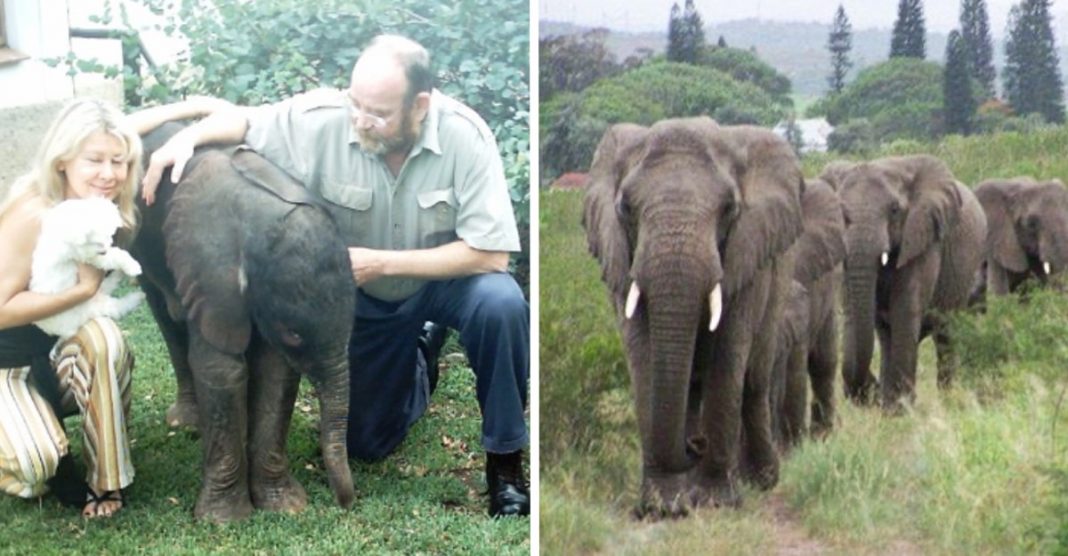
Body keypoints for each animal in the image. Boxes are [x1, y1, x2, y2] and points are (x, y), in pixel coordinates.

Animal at [30, 197, 145, 339]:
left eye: (109, 235)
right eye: (95, 243)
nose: (104, 251)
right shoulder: (86, 256)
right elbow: (114, 256)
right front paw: (133, 266)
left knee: (110, 284)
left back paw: (120, 275)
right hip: (94, 309)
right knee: (119, 306)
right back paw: (138, 296)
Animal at [131, 121, 356, 520]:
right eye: (293, 334)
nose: (347, 503)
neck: (258, 220)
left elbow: (275, 372)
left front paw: (285, 508)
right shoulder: (207, 272)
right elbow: (221, 369)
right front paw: (224, 520)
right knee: (166, 317)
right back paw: (187, 423)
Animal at [585, 115, 803, 516]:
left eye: (730, 208)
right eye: (625, 208)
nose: (695, 446)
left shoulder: (745, 256)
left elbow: (728, 356)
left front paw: (716, 503)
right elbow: (643, 357)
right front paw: (663, 507)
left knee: (754, 380)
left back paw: (760, 479)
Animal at [828, 155, 986, 407]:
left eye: (894, 210)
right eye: (840, 212)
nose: (872, 391)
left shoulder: (923, 238)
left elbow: (904, 310)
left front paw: (901, 409)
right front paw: (891, 407)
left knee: (945, 334)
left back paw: (947, 400)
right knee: (885, 336)